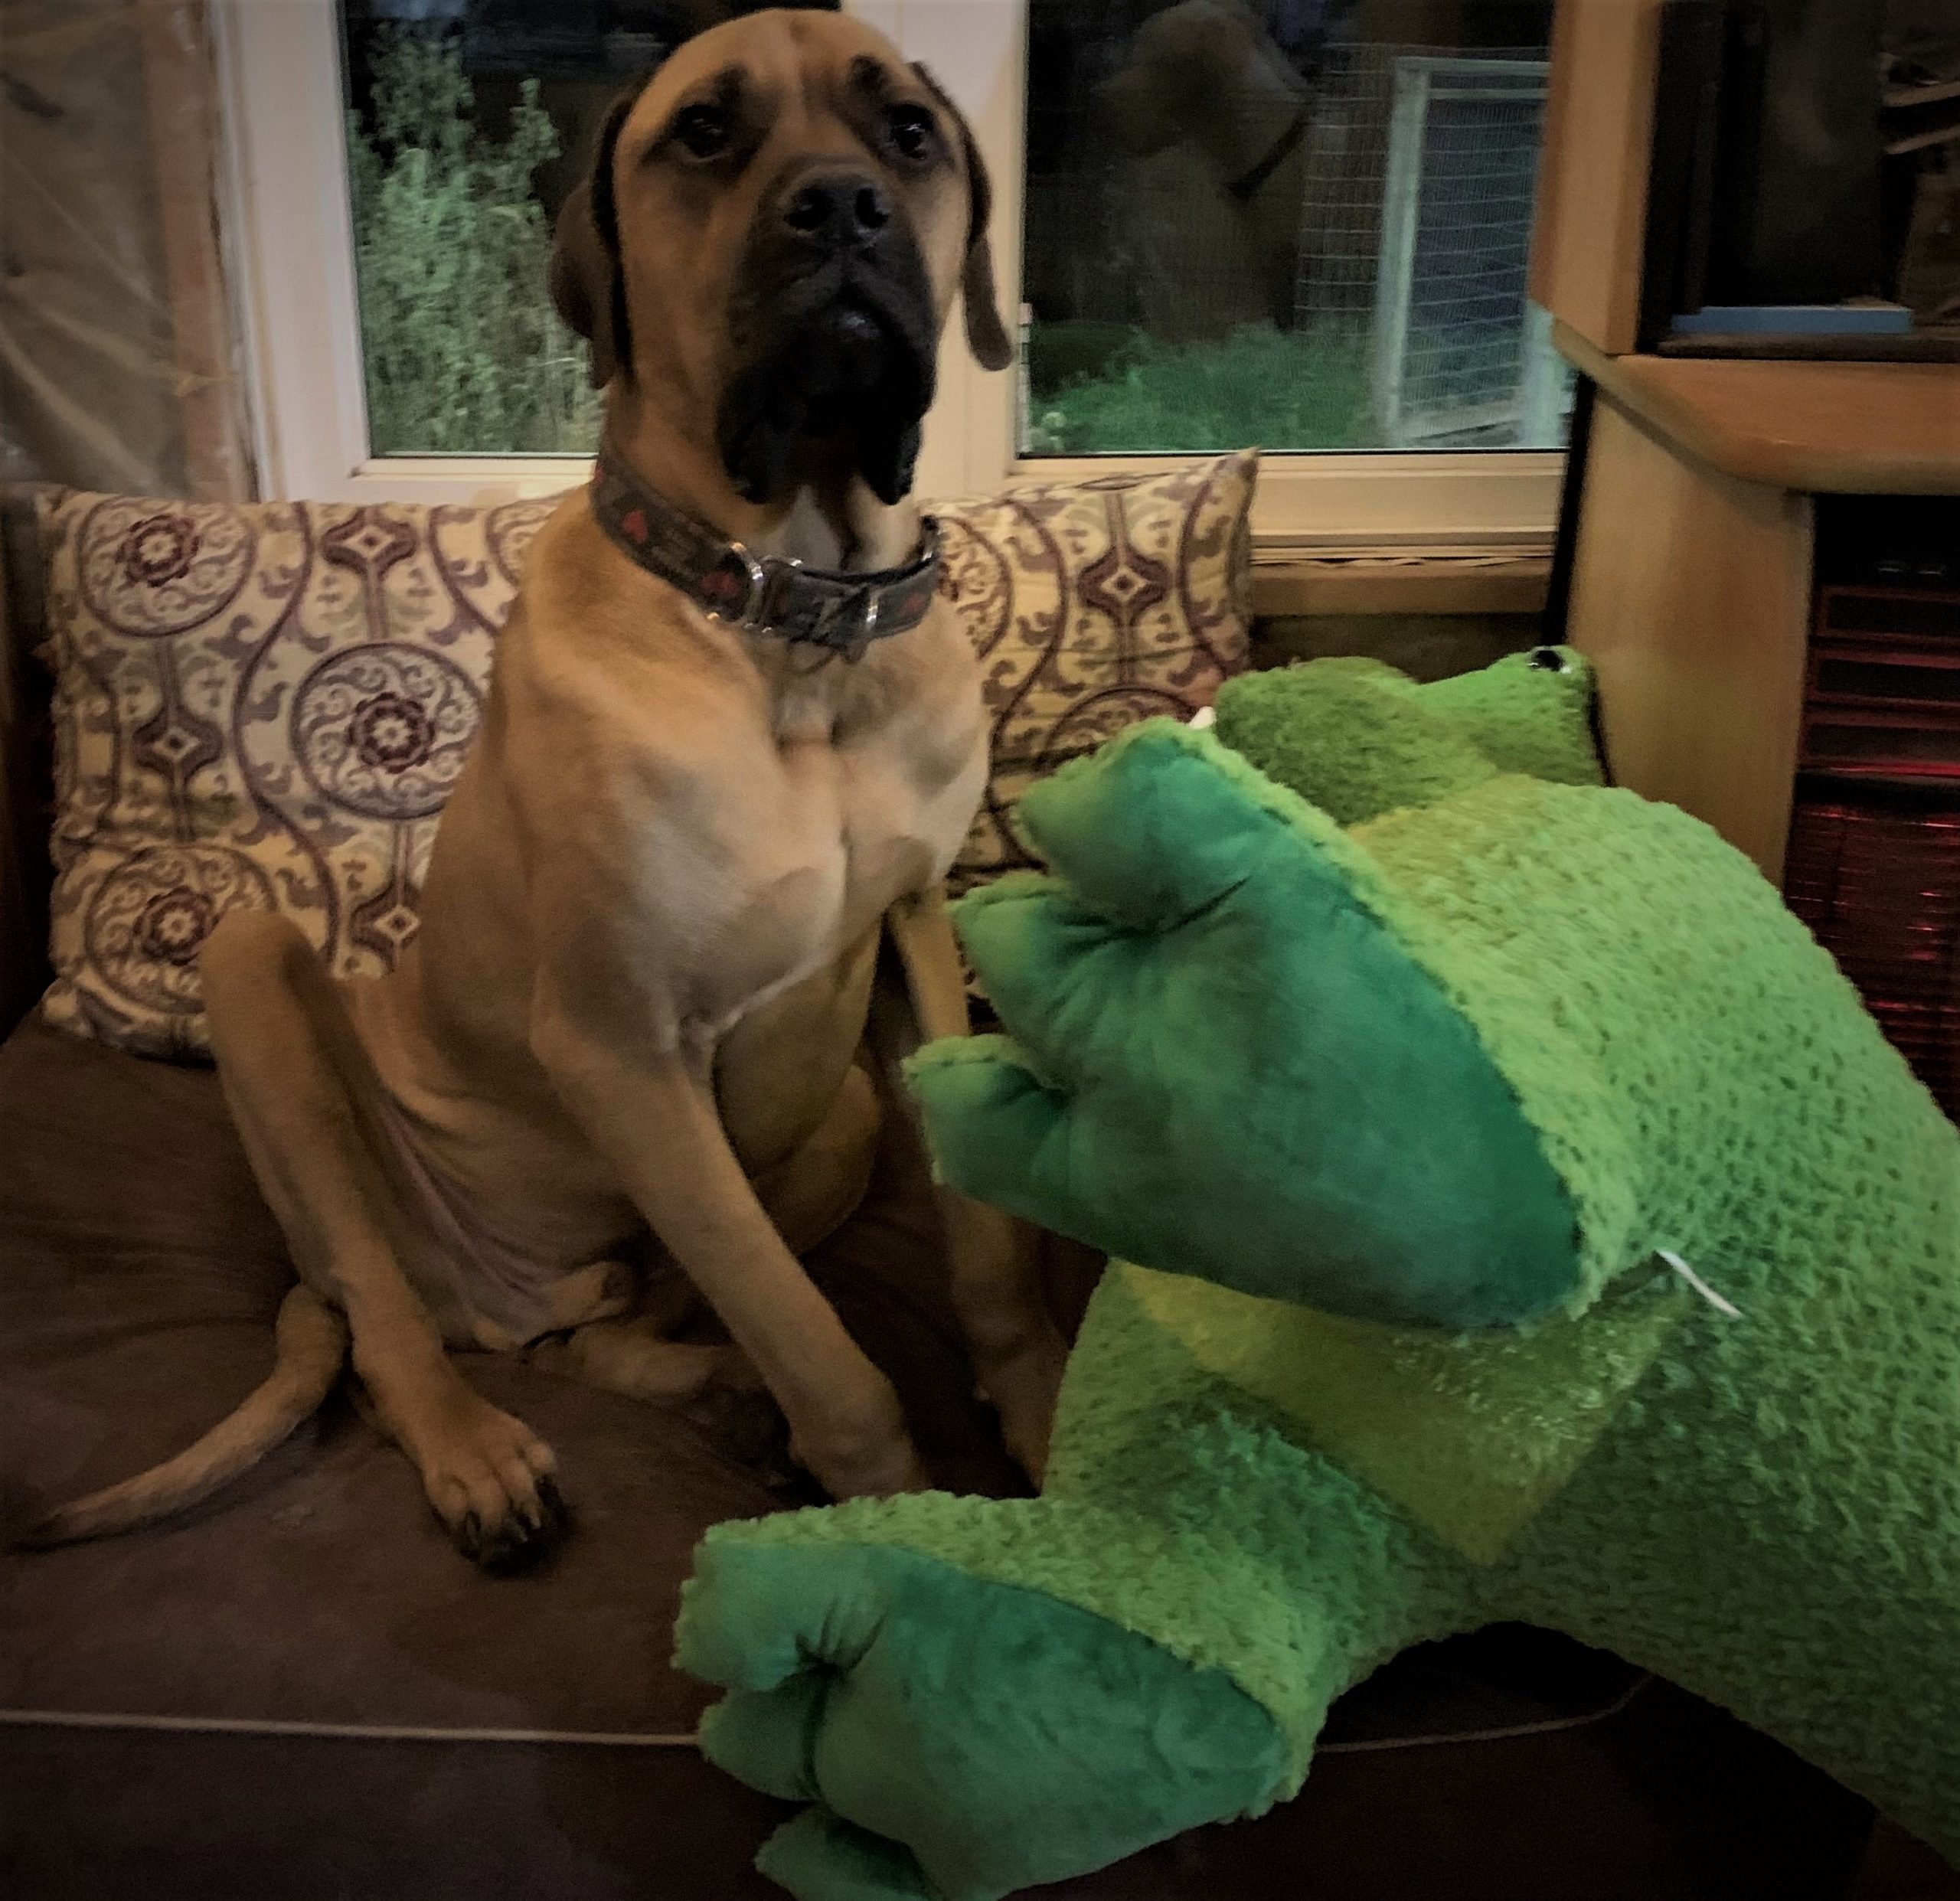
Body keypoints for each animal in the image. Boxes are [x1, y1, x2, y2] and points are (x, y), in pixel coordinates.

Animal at [26, 7, 1068, 1571]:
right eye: (706, 133)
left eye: (909, 133)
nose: (841, 208)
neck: (790, 612)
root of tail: (506, 1304)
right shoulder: (621, 1045)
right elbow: (831, 1358)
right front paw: (894, 1531)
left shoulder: (913, 936)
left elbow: (986, 1245)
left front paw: (1046, 1418)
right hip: (267, 992)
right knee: (388, 1326)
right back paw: (477, 1452)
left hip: (822, 1120)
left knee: (613, 1332)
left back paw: (703, 1386)